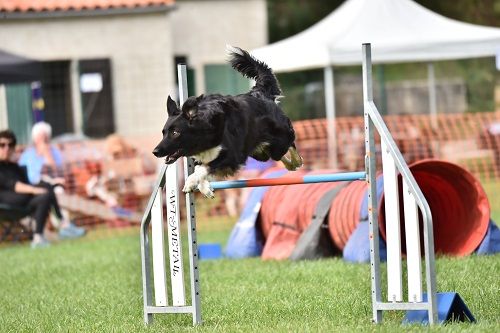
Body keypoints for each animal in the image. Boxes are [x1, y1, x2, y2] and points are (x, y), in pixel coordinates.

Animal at [151, 46, 300, 197]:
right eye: (163, 132)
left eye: (175, 133)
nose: (155, 151)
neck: (207, 129)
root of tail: (260, 93)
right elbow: (202, 168)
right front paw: (205, 188)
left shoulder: (232, 155)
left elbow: (204, 168)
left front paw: (190, 182)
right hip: (258, 151)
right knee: (275, 155)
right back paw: (291, 165)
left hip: (278, 142)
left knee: (290, 144)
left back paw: (296, 162)